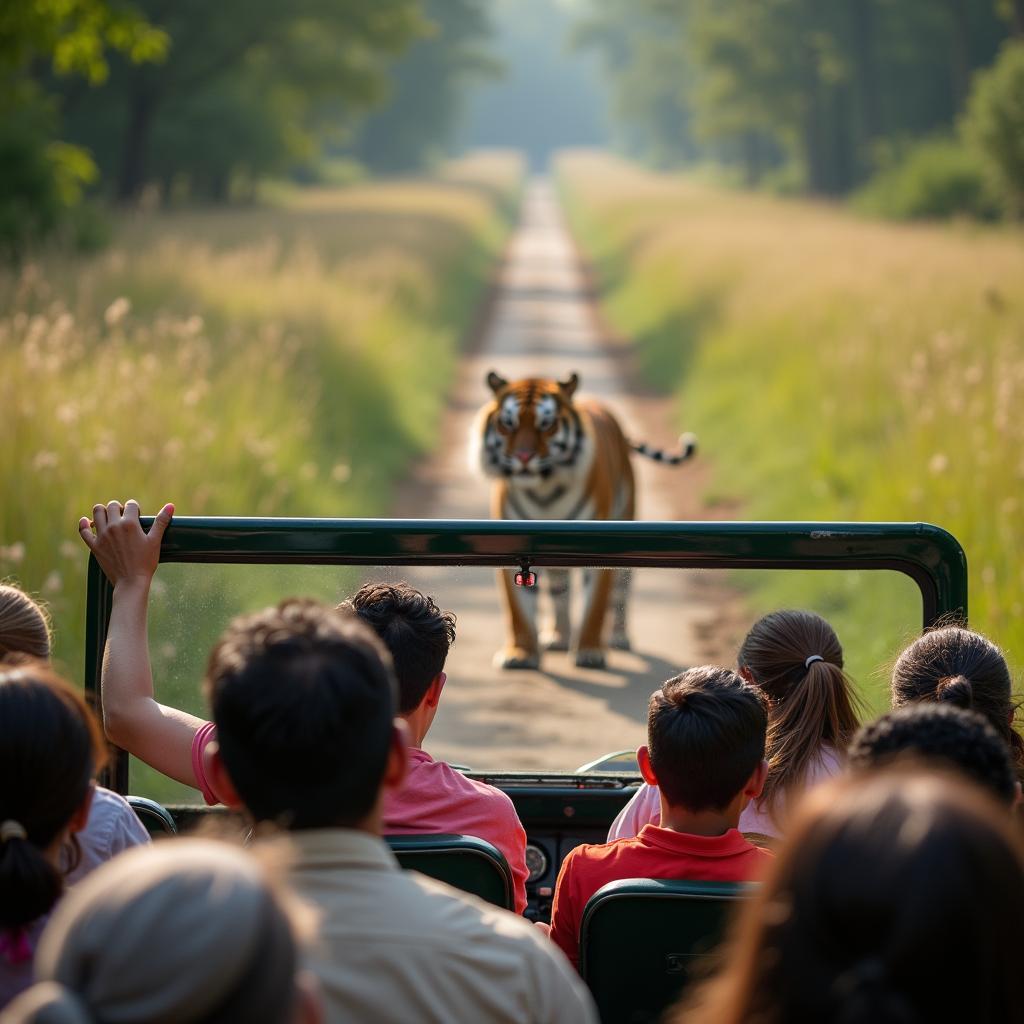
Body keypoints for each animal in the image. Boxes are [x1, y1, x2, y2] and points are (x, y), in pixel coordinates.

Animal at [468, 368, 696, 671]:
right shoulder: (513, 545)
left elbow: (594, 606)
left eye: (547, 425)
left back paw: (619, 637)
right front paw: (521, 653)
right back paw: (558, 635)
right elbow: (518, 609)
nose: (524, 457)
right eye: (508, 424)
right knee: (560, 589)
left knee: (621, 590)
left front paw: (589, 652)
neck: (543, 491)